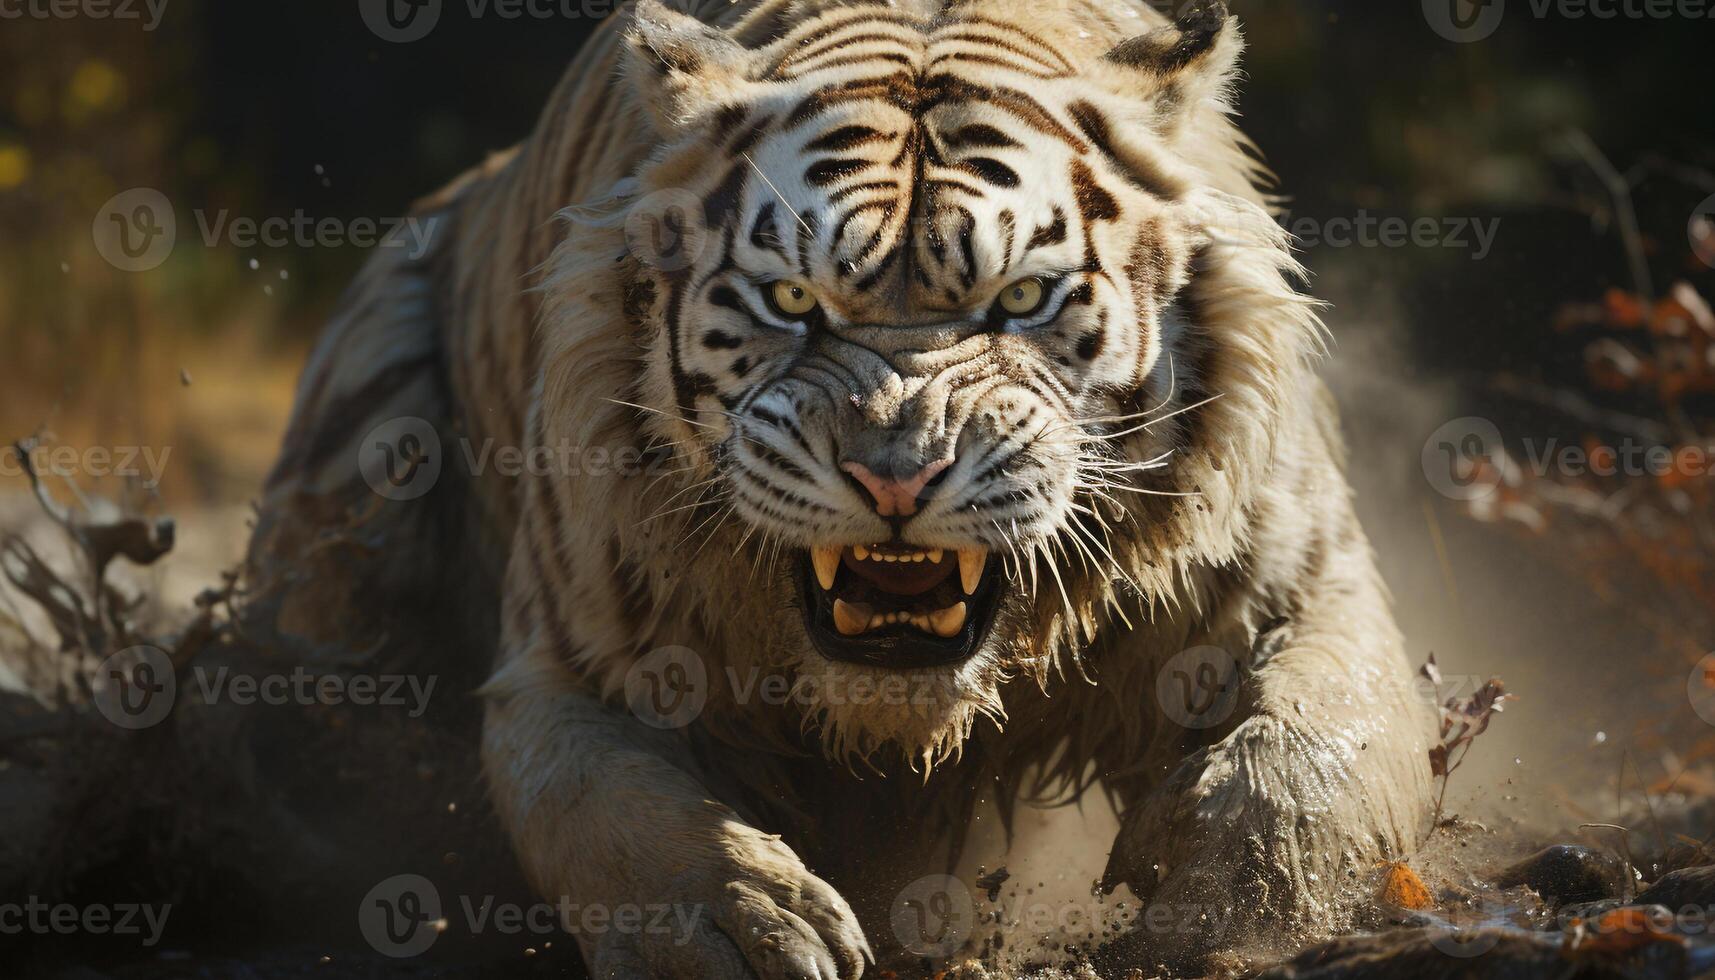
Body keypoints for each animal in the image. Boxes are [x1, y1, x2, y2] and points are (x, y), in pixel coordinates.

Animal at [248, 0, 1440, 974]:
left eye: (1021, 298)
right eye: (790, 300)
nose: (895, 473)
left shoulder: (1305, 583)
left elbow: (1312, 757)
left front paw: (1227, 913)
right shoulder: (570, 662)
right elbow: (603, 809)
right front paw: (733, 930)